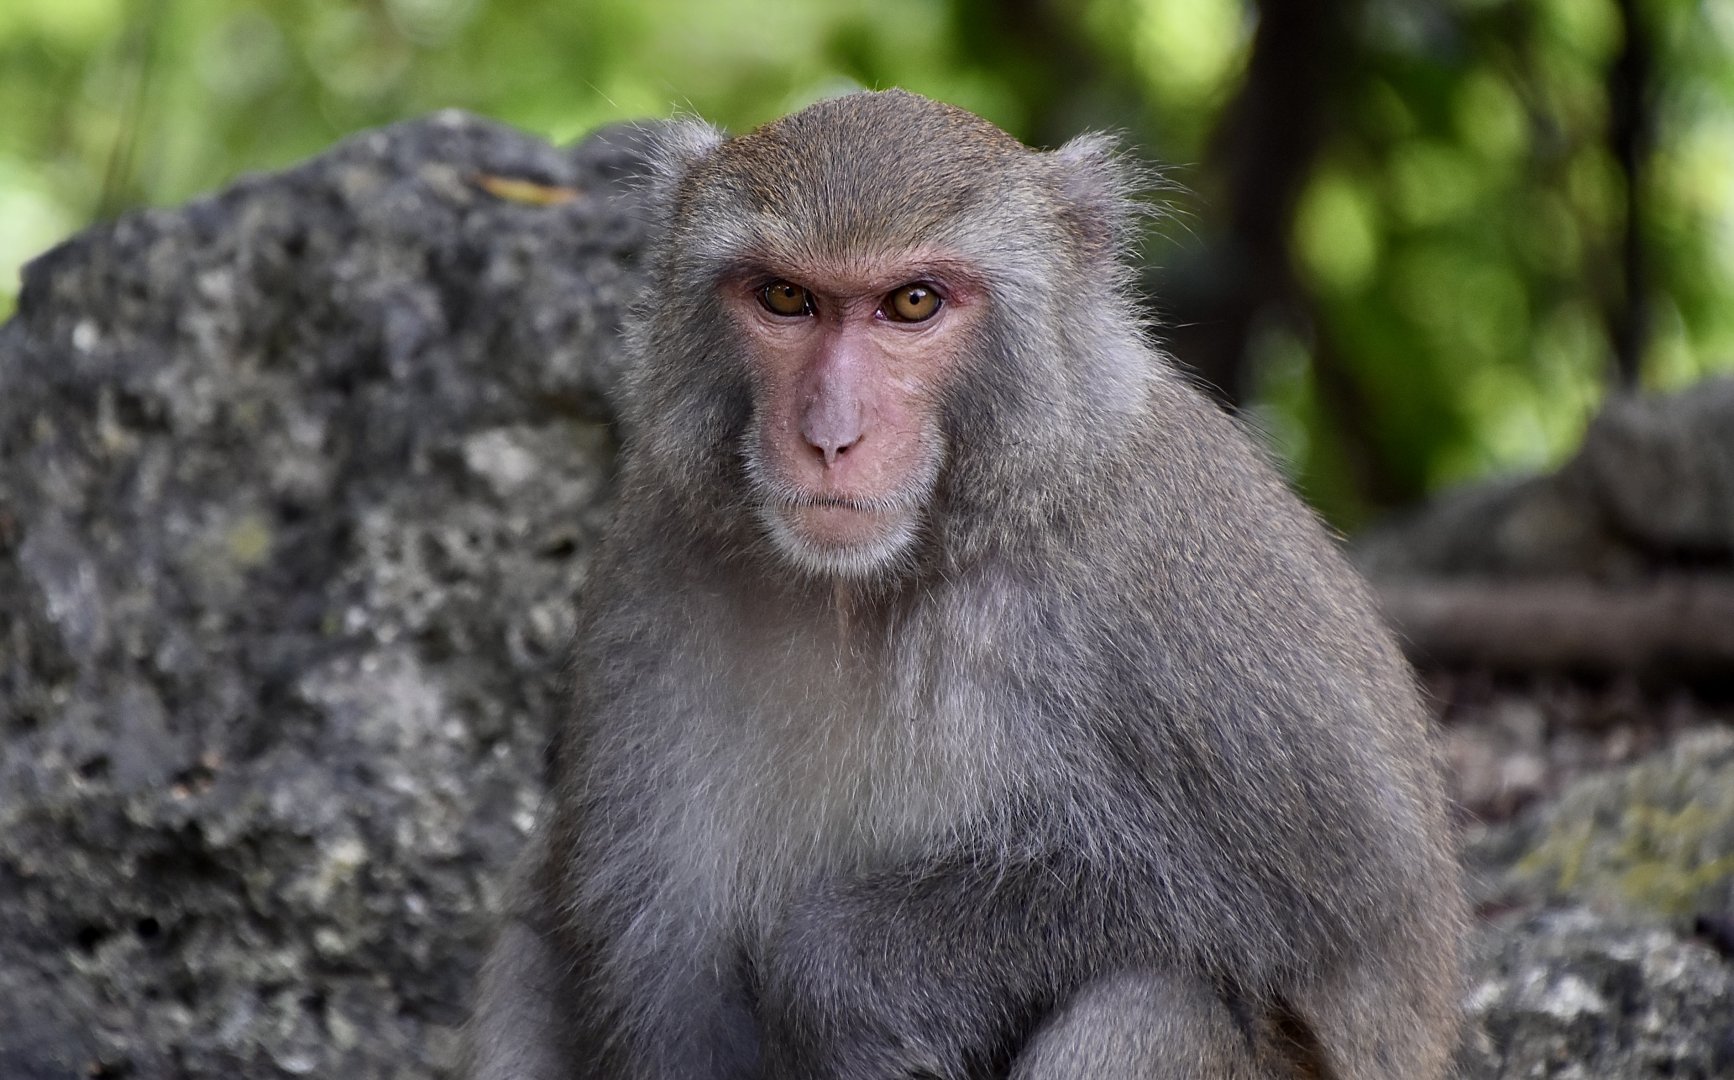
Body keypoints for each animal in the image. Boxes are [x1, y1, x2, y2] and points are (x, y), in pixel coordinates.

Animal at [464, 89, 1465, 1080]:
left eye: (912, 302)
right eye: (786, 297)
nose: (830, 435)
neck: (873, 584)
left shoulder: (1167, 572)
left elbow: (1339, 879)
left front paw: (844, 976)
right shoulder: (654, 557)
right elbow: (657, 969)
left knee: (1154, 995)